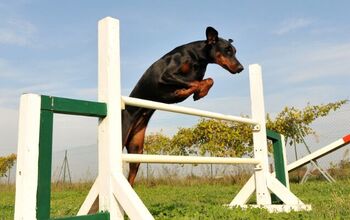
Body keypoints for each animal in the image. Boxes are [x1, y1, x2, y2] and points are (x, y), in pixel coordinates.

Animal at [123, 27, 243, 186]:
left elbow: (208, 80)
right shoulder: (167, 75)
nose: (241, 68)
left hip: (136, 148)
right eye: (227, 50)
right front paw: (187, 92)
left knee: (131, 175)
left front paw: (197, 93)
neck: (196, 57)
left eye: (235, 51)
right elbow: (193, 83)